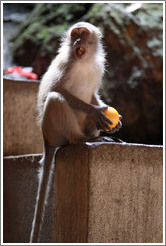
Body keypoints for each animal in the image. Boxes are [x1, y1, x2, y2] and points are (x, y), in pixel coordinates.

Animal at [29, 22, 121, 243]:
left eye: (83, 34)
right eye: (75, 34)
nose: (78, 40)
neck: (84, 60)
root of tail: (45, 138)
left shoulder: (98, 67)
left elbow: (93, 95)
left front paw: (109, 115)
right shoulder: (67, 64)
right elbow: (53, 90)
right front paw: (95, 111)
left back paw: (98, 136)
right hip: (53, 130)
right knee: (55, 99)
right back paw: (80, 139)